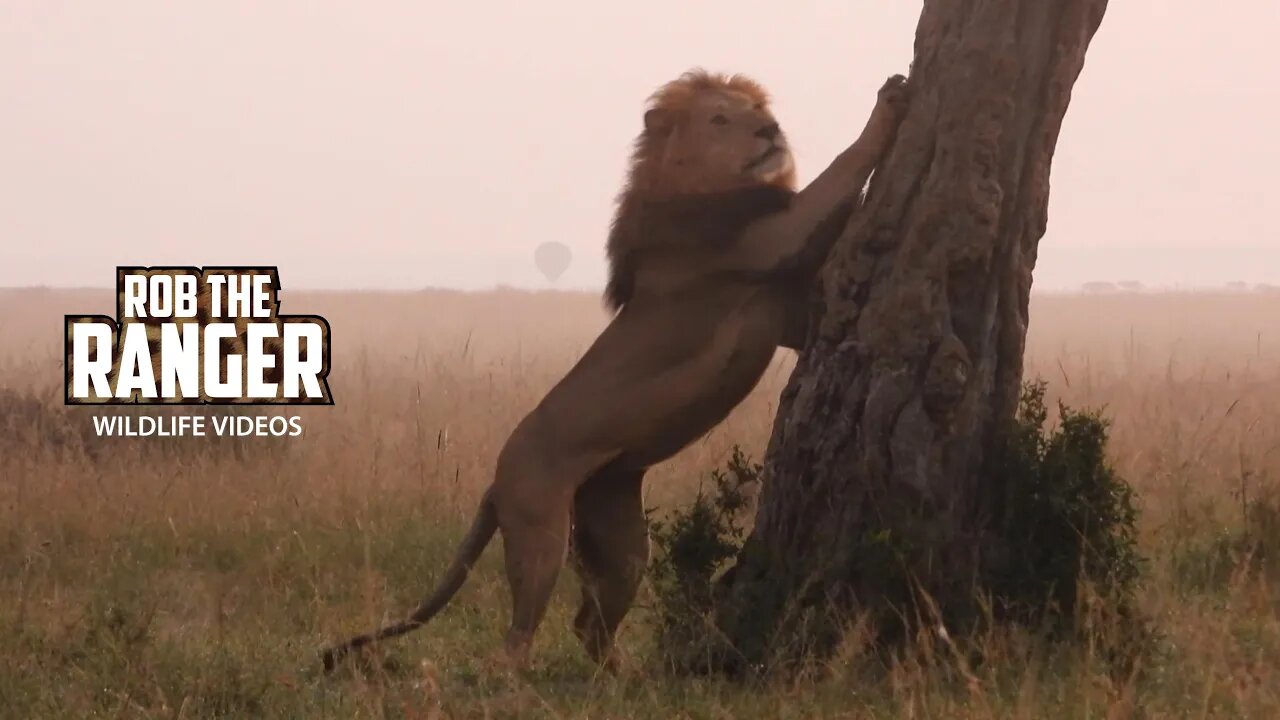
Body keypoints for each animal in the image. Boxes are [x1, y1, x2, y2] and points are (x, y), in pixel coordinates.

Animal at [327, 70, 911, 671]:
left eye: (755, 110)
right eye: (720, 118)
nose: (770, 130)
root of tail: (494, 480)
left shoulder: (787, 308)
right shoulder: (764, 240)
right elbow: (839, 170)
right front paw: (890, 99)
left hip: (620, 532)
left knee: (590, 623)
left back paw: (620, 676)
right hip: (540, 530)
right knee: (520, 633)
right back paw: (520, 678)